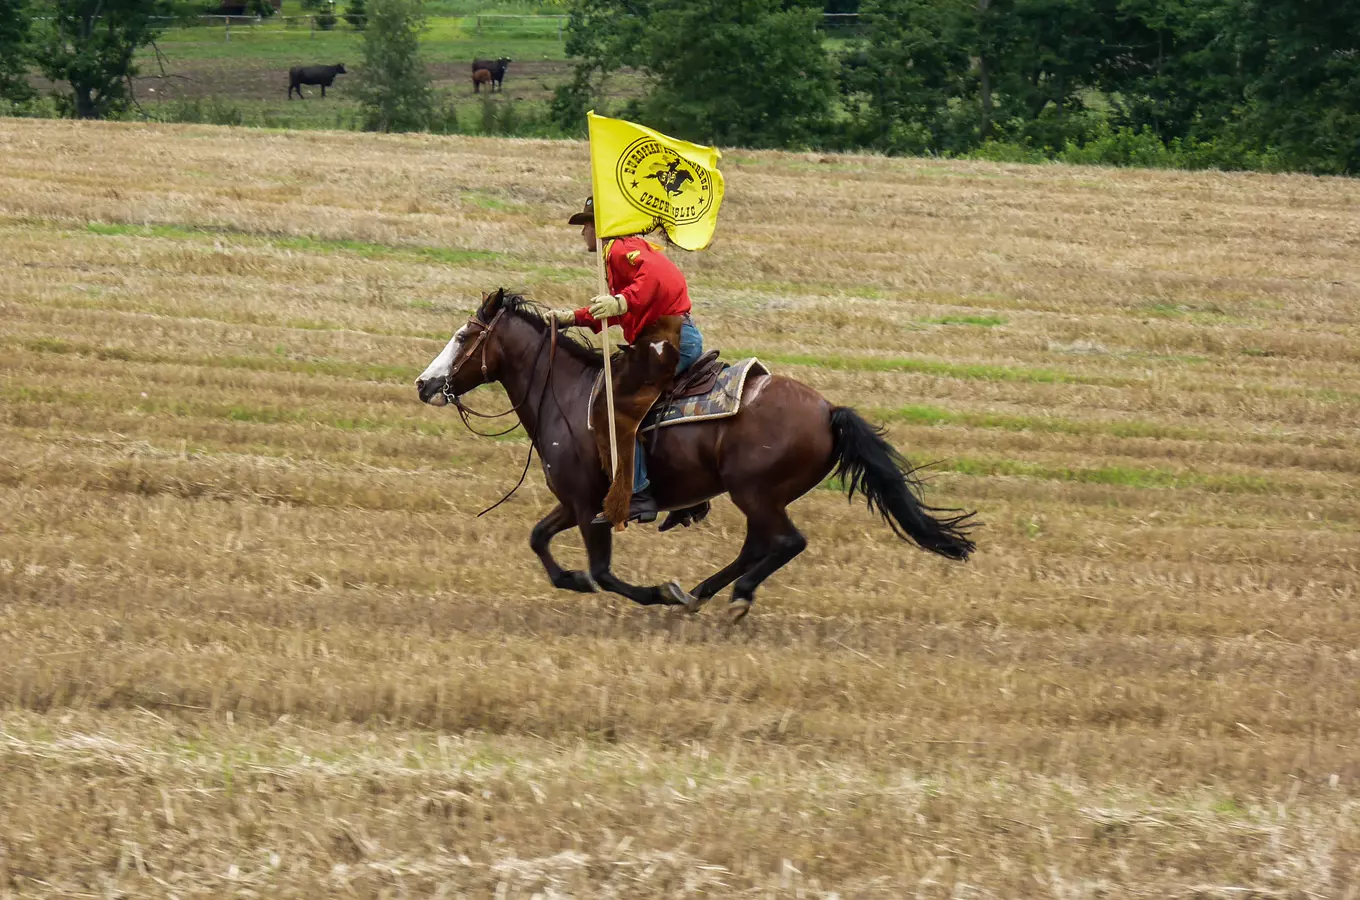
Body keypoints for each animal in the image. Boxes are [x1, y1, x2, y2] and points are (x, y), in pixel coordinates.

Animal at [413, 292, 979, 625]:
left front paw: (658, 592)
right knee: (758, 547)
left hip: (756, 492)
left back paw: (730, 597)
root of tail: (828, 412)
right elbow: (540, 541)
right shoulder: (573, 501)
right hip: (759, 498)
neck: (570, 396)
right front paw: (572, 580)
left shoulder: (589, 505)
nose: (424, 384)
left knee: (785, 543)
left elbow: (604, 573)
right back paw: (705, 592)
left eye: (463, 336)